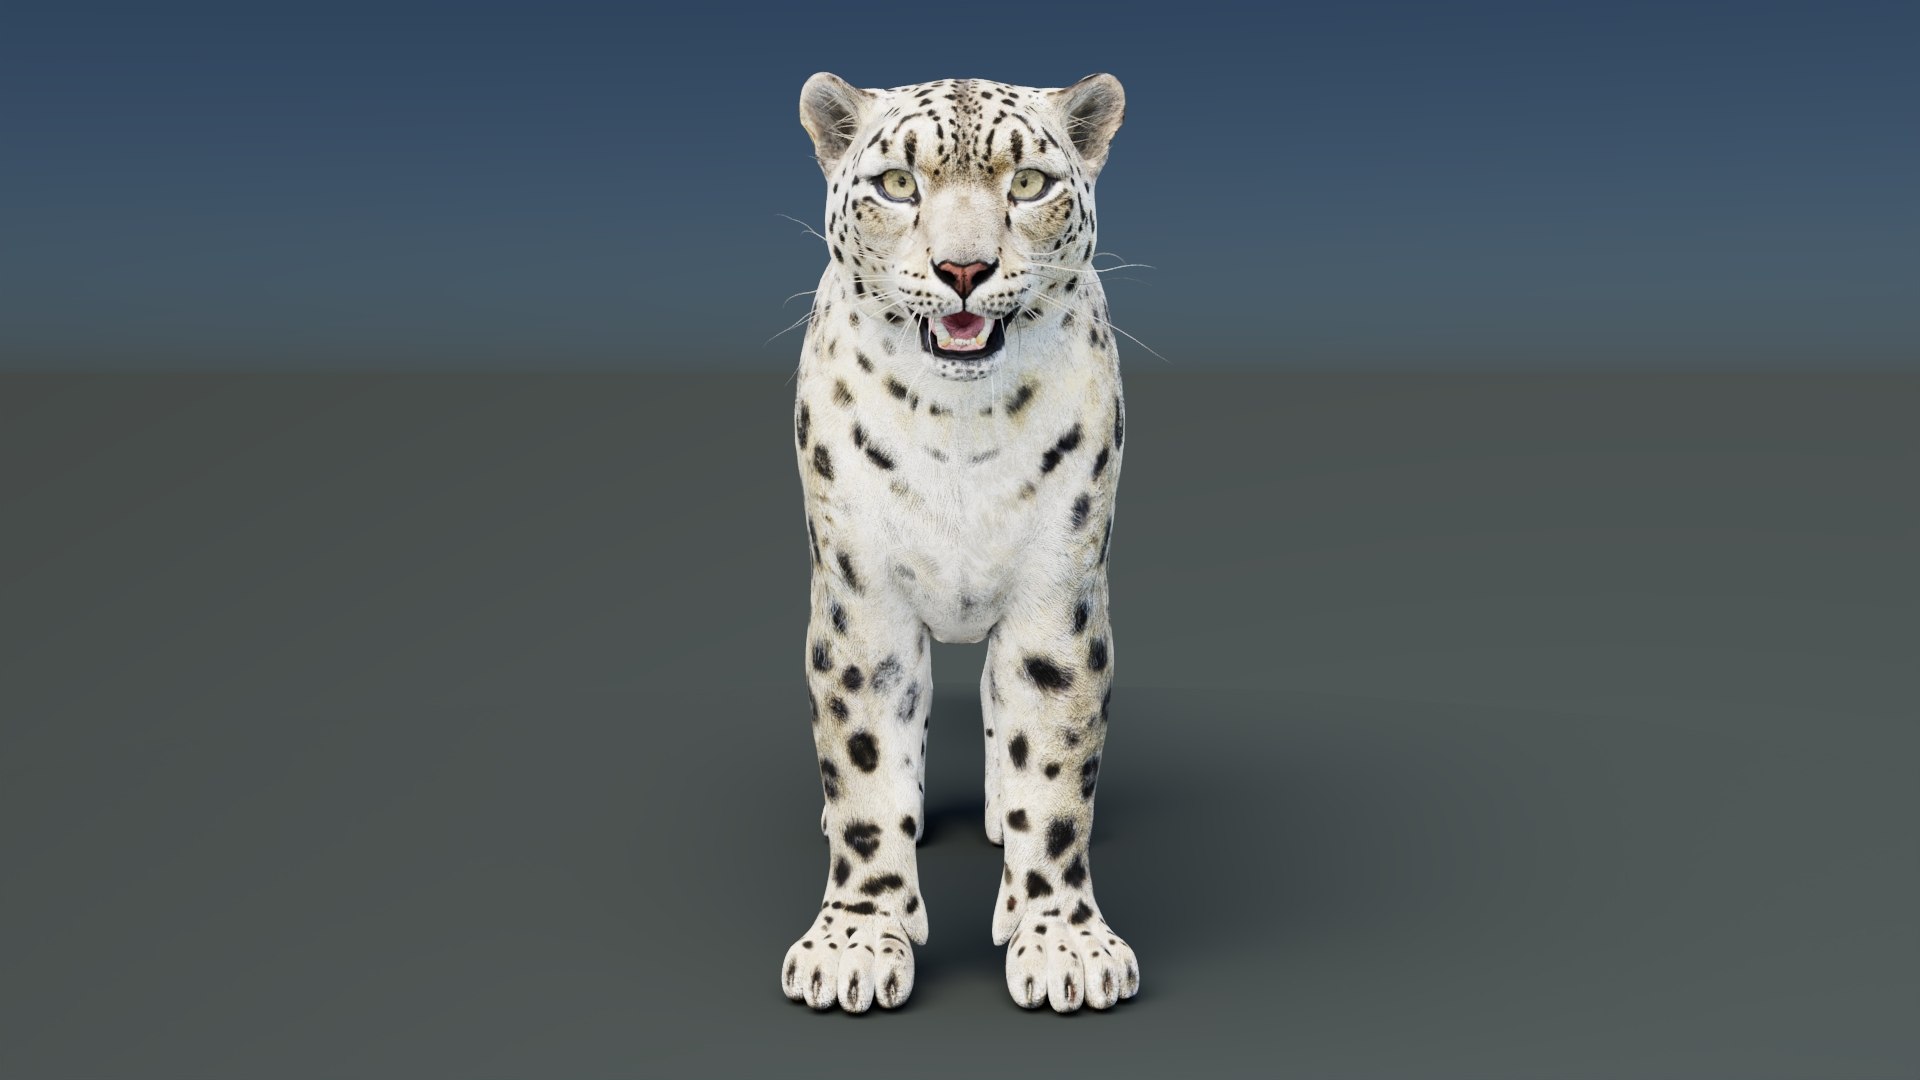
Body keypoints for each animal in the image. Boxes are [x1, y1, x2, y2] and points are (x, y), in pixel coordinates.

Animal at [780, 72, 1138, 1014]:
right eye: (899, 184)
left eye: (1030, 184)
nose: (964, 270)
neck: (958, 429)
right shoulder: (861, 597)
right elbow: (865, 765)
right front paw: (857, 940)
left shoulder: (1058, 593)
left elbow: (1054, 771)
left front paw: (1063, 941)